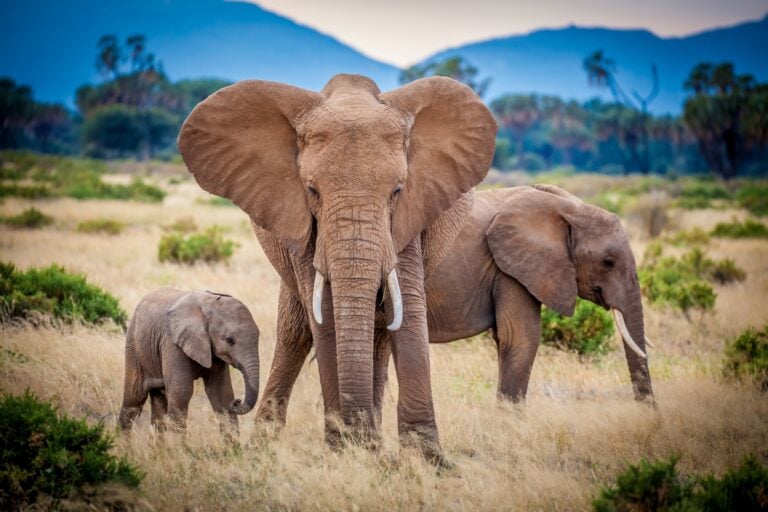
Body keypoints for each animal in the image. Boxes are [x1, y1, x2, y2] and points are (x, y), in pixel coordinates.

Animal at [118, 289, 261, 438]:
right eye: (230, 340)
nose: (237, 401)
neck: (209, 305)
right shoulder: (172, 343)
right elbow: (181, 393)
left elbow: (221, 393)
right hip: (133, 346)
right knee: (133, 399)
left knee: (158, 404)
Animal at [177, 74, 497, 459]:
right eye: (312, 190)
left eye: (397, 191)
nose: (354, 434)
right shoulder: (301, 221)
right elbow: (325, 316)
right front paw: (344, 451)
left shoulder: (411, 218)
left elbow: (406, 309)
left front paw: (425, 460)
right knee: (294, 334)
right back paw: (265, 446)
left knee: (379, 334)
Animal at [251, 184, 653, 436]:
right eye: (608, 263)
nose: (648, 414)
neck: (569, 208)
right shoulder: (511, 270)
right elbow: (520, 339)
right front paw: (508, 432)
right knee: (299, 336)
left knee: (300, 336)